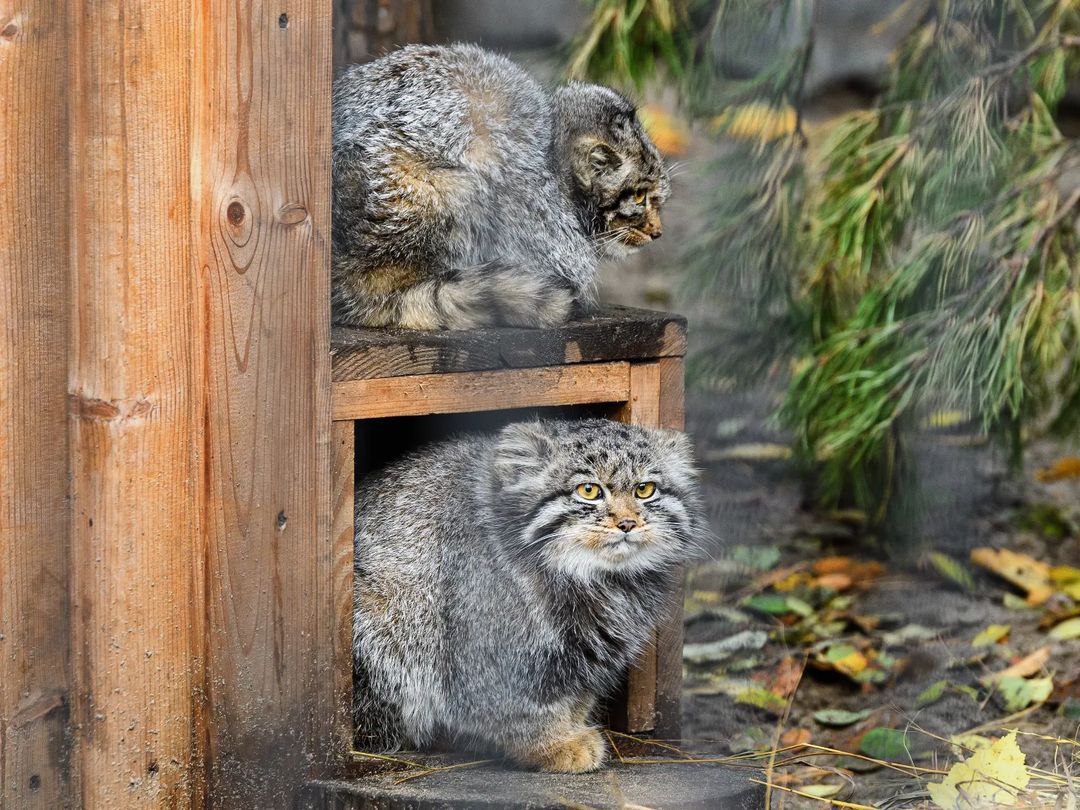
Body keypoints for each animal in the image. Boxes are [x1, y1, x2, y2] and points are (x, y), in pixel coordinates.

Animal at [349, 419, 695, 773]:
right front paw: (552, 745)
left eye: (645, 489)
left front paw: (571, 729)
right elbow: (515, 706)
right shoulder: (488, 650)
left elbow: (577, 694)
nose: (627, 524)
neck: (592, 576)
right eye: (589, 491)